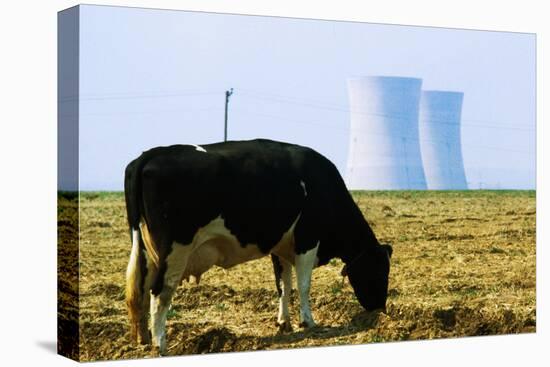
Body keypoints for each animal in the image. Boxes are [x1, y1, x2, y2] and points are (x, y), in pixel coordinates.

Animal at [125, 139, 392, 356]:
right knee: (159, 292)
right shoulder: (307, 240)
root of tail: (151, 153)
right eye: (379, 271)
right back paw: (160, 344)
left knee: (141, 291)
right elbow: (303, 284)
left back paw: (144, 339)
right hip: (175, 250)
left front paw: (284, 323)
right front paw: (309, 322)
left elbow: (284, 285)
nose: (380, 308)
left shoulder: (281, 247)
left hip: (148, 252)